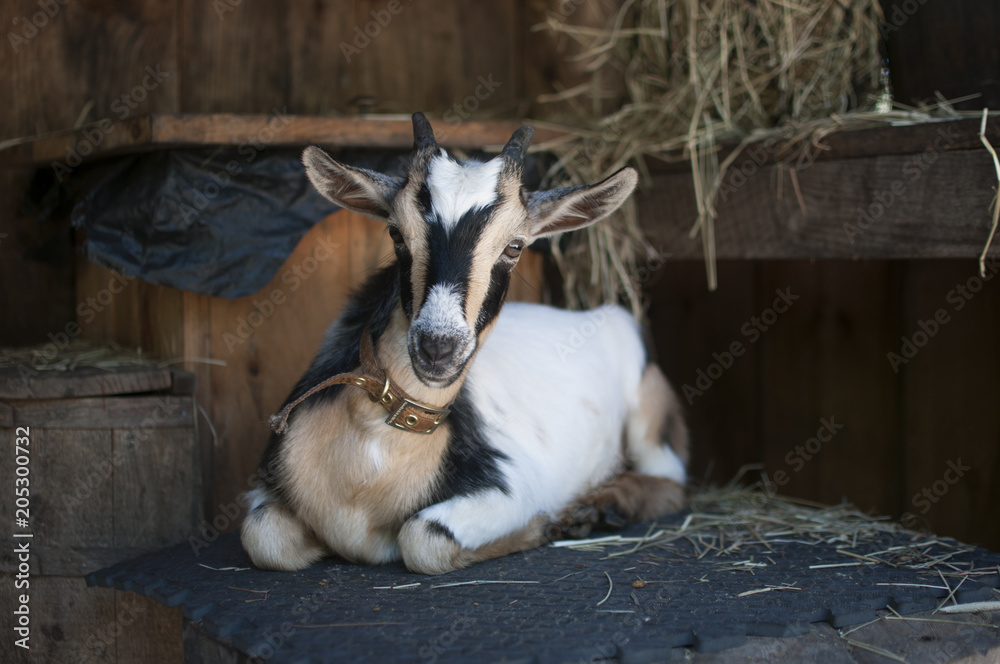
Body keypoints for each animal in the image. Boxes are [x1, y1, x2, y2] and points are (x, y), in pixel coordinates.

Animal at [240, 113, 689, 575]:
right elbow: (261, 535)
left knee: (673, 483)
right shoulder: (266, 493)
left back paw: (602, 507)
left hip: (650, 419)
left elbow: (423, 536)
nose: (438, 348)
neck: (371, 457)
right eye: (396, 234)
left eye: (514, 246)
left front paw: (546, 526)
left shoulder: (510, 487)